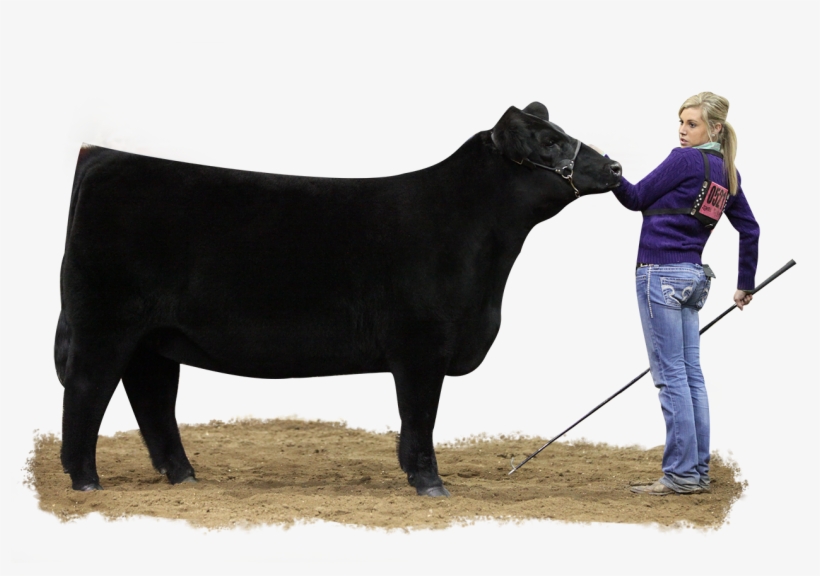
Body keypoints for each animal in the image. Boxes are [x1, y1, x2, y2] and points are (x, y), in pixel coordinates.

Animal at [55, 102, 622, 496]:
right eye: (548, 142)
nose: (615, 167)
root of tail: (102, 156)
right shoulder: (421, 348)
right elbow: (421, 417)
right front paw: (430, 483)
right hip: (104, 325)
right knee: (86, 391)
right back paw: (86, 482)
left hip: (153, 337)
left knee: (151, 399)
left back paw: (184, 476)